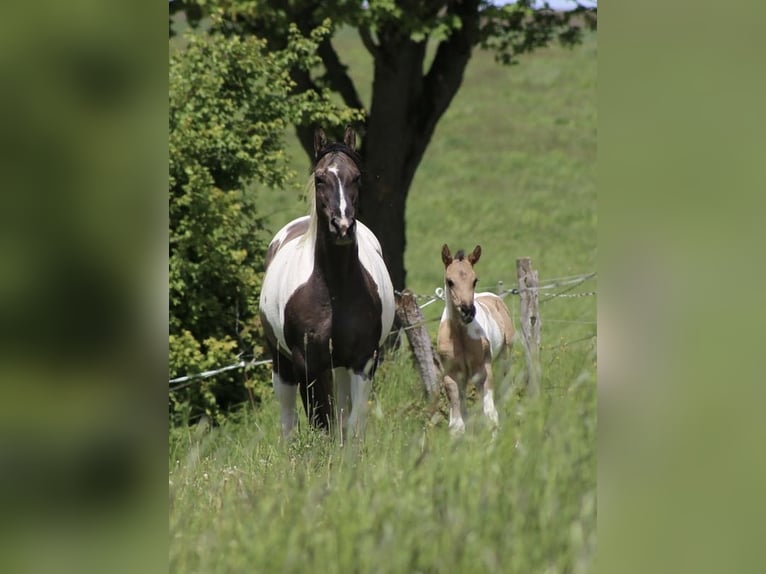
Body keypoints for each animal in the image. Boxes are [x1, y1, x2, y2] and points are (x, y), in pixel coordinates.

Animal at [259, 127, 395, 439]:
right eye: (320, 178)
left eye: (356, 176)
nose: (342, 226)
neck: (334, 291)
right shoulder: (308, 364)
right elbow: (321, 422)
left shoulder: (362, 361)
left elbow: (352, 424)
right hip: (281, 363)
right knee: (289, 419)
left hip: (341, 367)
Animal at [436, 244, 515, 435]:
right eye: (450, 281)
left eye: (475, 280)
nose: (468, 311)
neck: (459, 335)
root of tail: (495, 297)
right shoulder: (452, 374)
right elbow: (457, 423)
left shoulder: (483, 370)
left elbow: (490, 413)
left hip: (505, 356)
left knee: (506, 389)